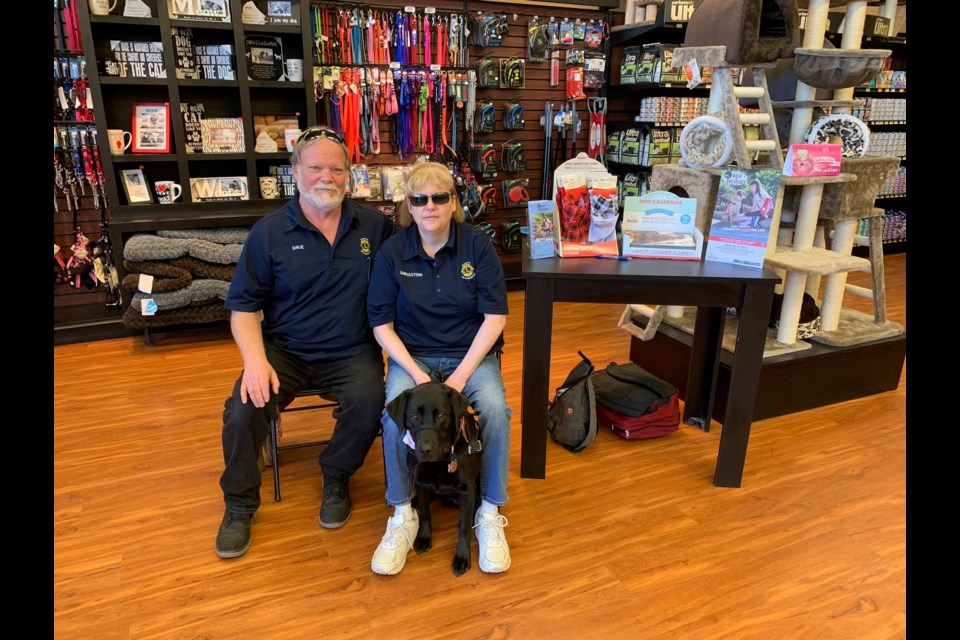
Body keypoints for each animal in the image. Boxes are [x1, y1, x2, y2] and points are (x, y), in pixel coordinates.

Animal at [386, 380, 484, 576]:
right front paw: (424, 537)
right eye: (414, 416)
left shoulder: (467, 490)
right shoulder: (421, 482)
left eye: (441, 415)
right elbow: (425, 512)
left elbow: (464, 529)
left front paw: (461, 557)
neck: (442, 459)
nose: (426, 450)